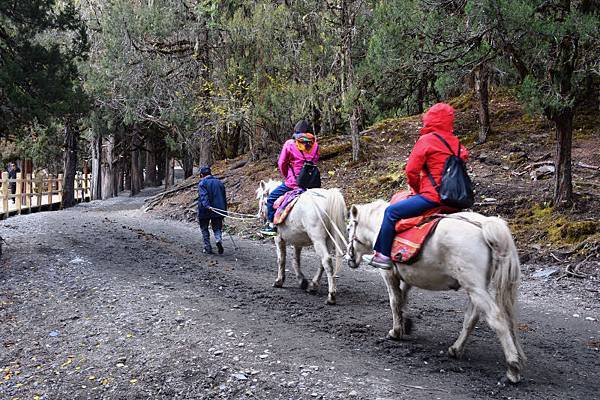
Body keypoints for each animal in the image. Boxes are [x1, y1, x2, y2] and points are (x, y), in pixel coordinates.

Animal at [346, 202, 524, 382]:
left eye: (349, 228)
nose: (349, 258)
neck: (379, 225)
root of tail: (484, 226)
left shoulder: (388, 274)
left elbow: (395, 301)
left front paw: (396, 332)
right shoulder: (407, 275)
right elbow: (403, 297)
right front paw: (406, 324)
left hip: (474, 287)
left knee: (496, 318)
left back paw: (512, 368)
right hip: (476, 288)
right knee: (472, 317)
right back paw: (456, 349)